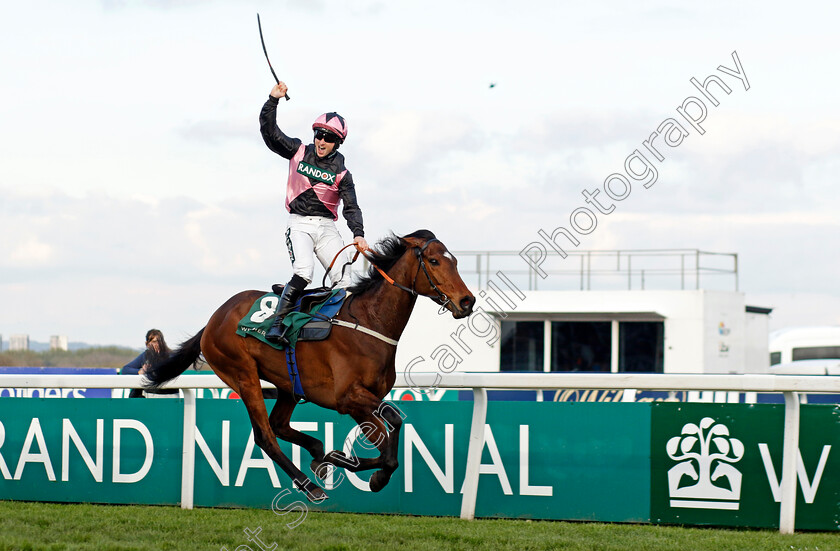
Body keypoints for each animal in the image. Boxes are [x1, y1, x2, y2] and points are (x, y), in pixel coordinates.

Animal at [141, 231, 476, 502]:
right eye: (434, 261)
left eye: (456, 261)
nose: (467, 301)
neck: (368, 321)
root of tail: (214, 318)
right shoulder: (347, 397)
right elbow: (392, 424)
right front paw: (368, 472)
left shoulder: (361, 400)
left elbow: (385, 438)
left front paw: (338, 459)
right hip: (242, 375)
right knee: (265, 435)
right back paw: (308, 485)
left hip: (288, 384)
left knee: (278, 424)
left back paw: (317, 453)